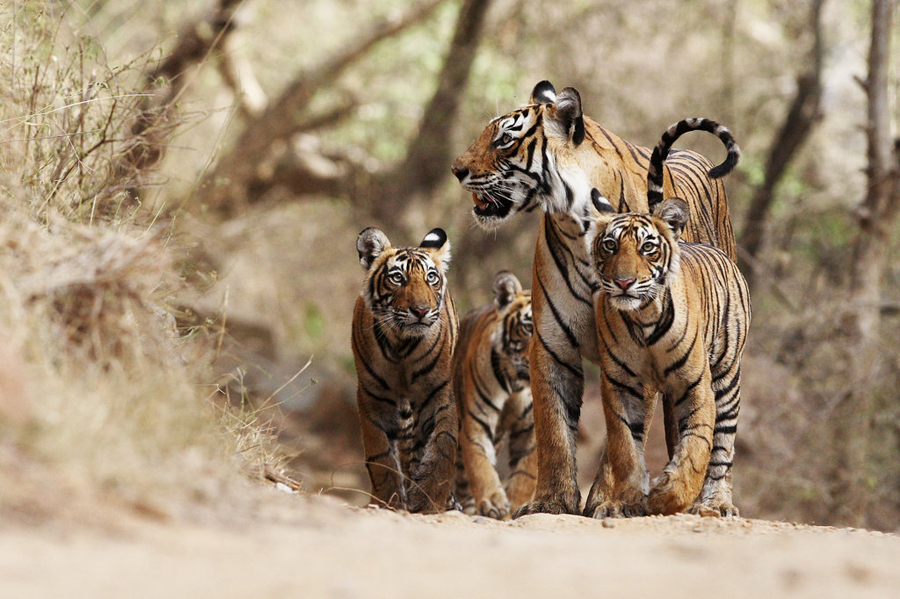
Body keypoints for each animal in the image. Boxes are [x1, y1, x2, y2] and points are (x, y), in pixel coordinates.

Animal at [352, 227, 460, 512]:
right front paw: (388, 500)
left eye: (431, 278)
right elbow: (381, 457)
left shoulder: (439, 395)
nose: (421, 310)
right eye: (397, 278)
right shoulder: (372, 399)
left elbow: (442, 447)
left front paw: (429, 501)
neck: (401, 346)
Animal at [450, 272, 536, 520]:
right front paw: (493, 503)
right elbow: (481, 466)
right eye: (528, 327)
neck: (517, 385)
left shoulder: (531, 429)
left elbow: (524, 476)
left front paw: (515, 506)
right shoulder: (477, 422)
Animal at [588, 195, 748, 516]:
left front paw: (666, 497)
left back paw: (717, 502)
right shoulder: (622, 385)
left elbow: (697, 447)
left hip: (727, 378)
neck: (643, 318)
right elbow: (626, 448)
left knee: (722, 448)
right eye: (610, 245)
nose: (623, 282)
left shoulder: (696, 384)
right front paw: (628, 500)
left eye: (647, 247)